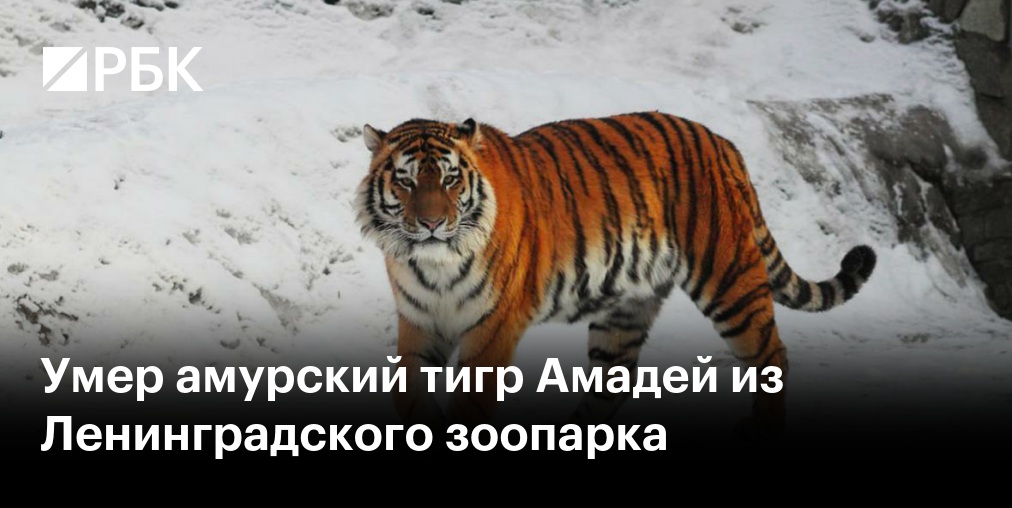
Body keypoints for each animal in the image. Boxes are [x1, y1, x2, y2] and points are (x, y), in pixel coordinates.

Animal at [354, 112, 876, 438]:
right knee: (613, 384)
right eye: (405, 181)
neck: (433, 264)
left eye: (449, 179)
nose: (431, 223)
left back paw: (763, 427)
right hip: (625, 311)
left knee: (772, 354)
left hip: (729, 279)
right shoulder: (420, 321)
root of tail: (725, 144)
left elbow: (470, 408)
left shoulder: (492, 329)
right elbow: (406, 393)